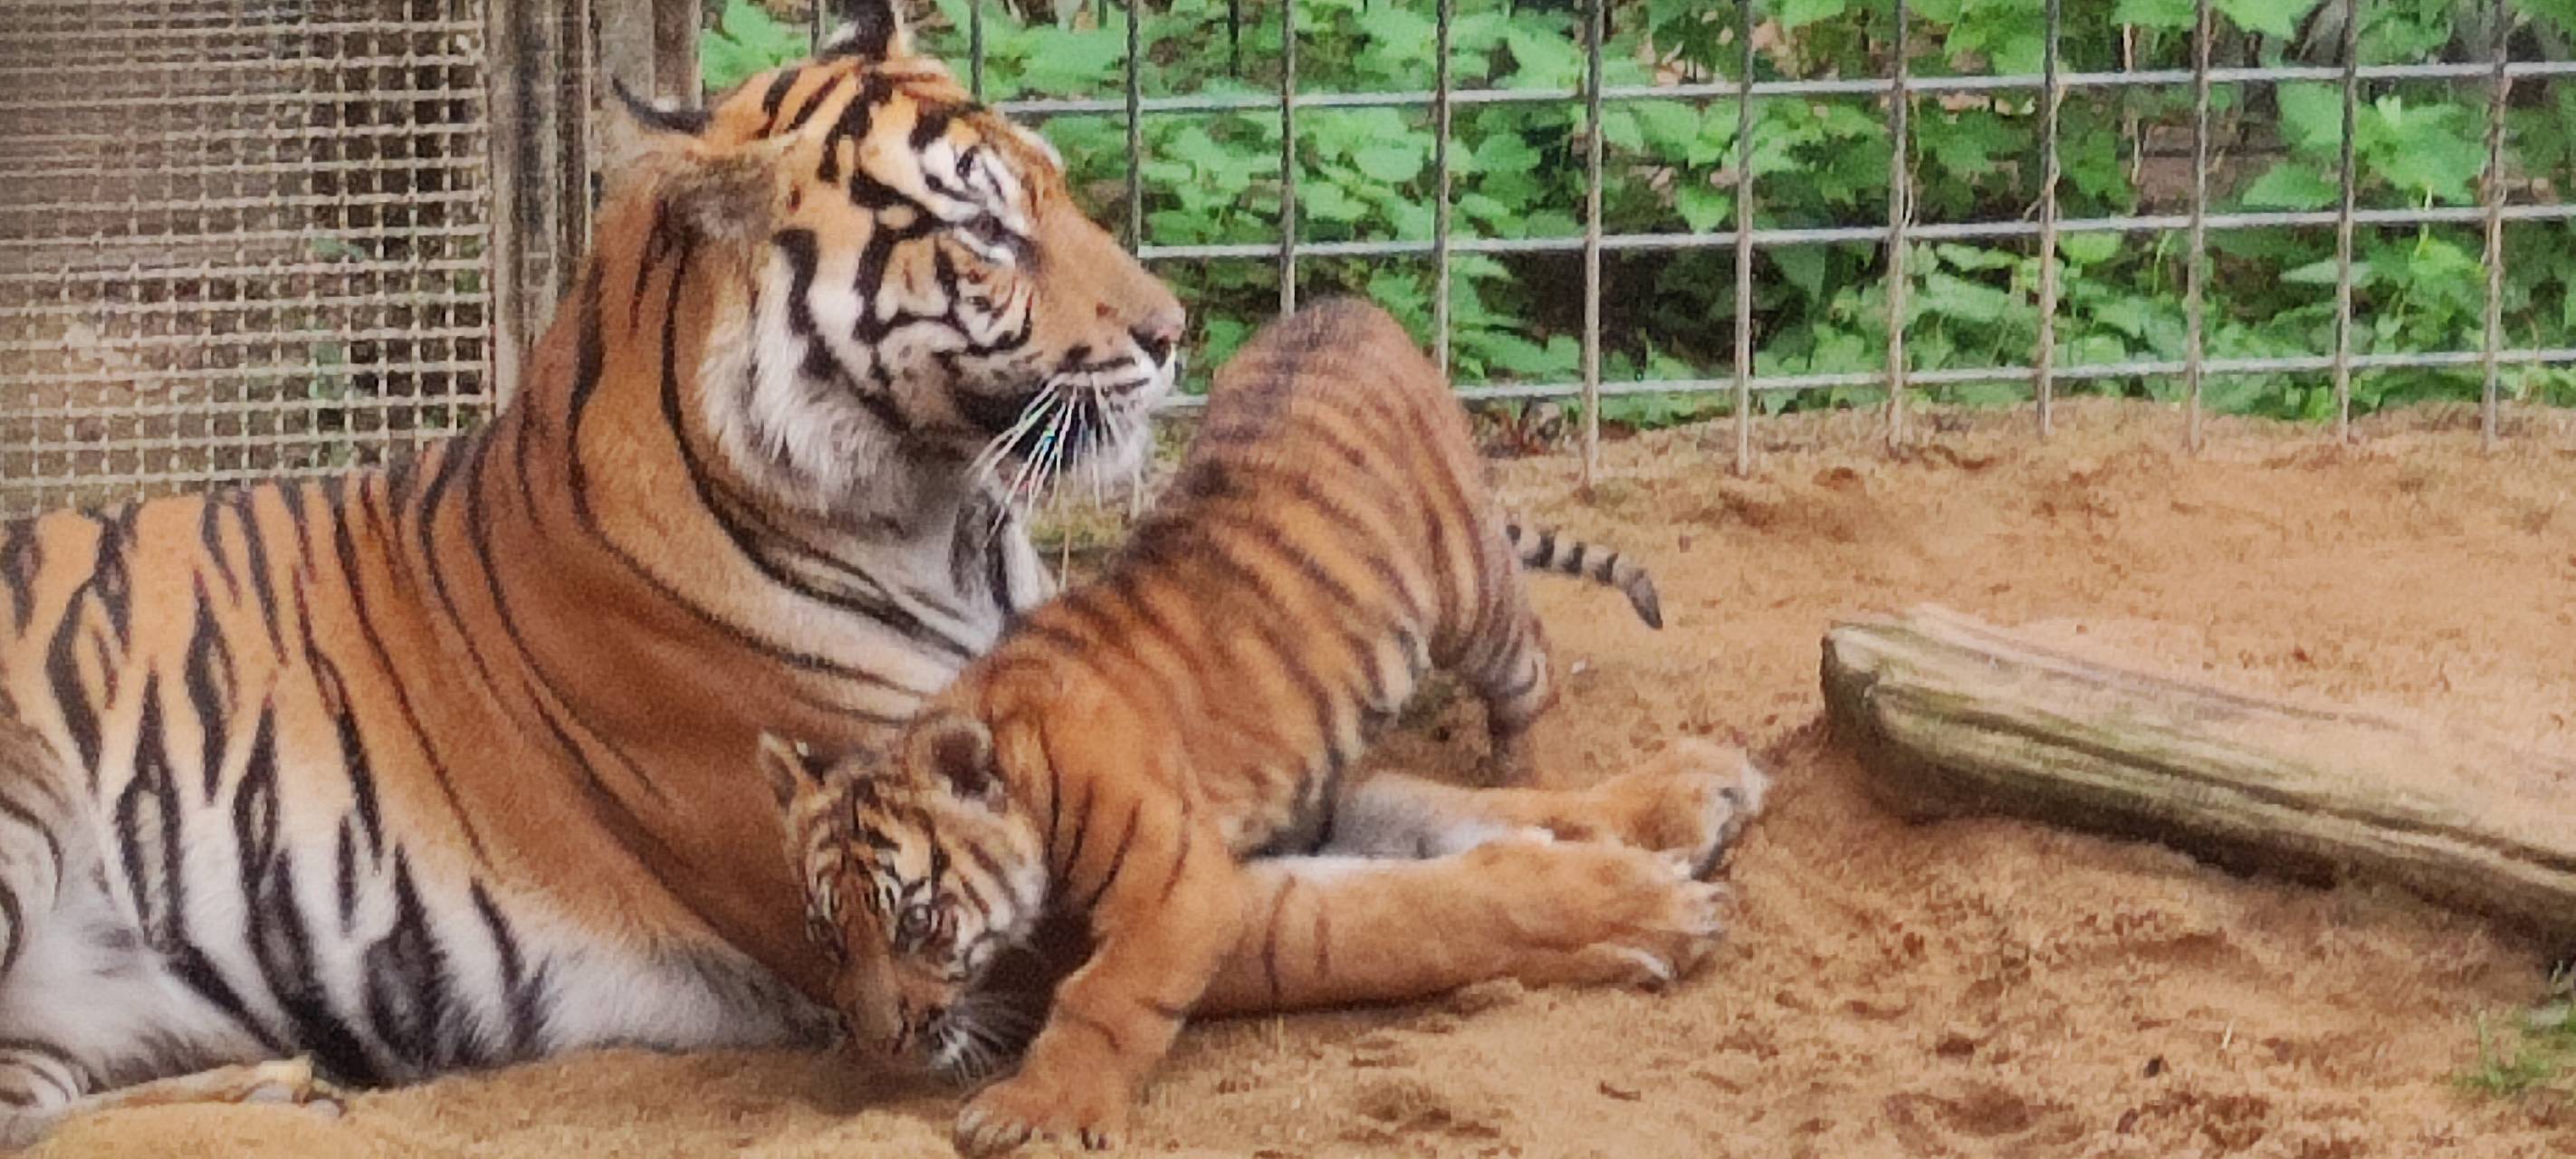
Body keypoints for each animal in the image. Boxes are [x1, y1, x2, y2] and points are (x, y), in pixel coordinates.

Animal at [758, 298, 1770, 1156]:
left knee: (1532, 670)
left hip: (1471, 598)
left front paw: (1037, 1110)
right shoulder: (1296, 815)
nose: (883, 1041)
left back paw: (1532, 753)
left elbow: (1107, 996)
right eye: (829, 936)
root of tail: (1340, 305)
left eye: (920, 921)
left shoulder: (1179, 886)